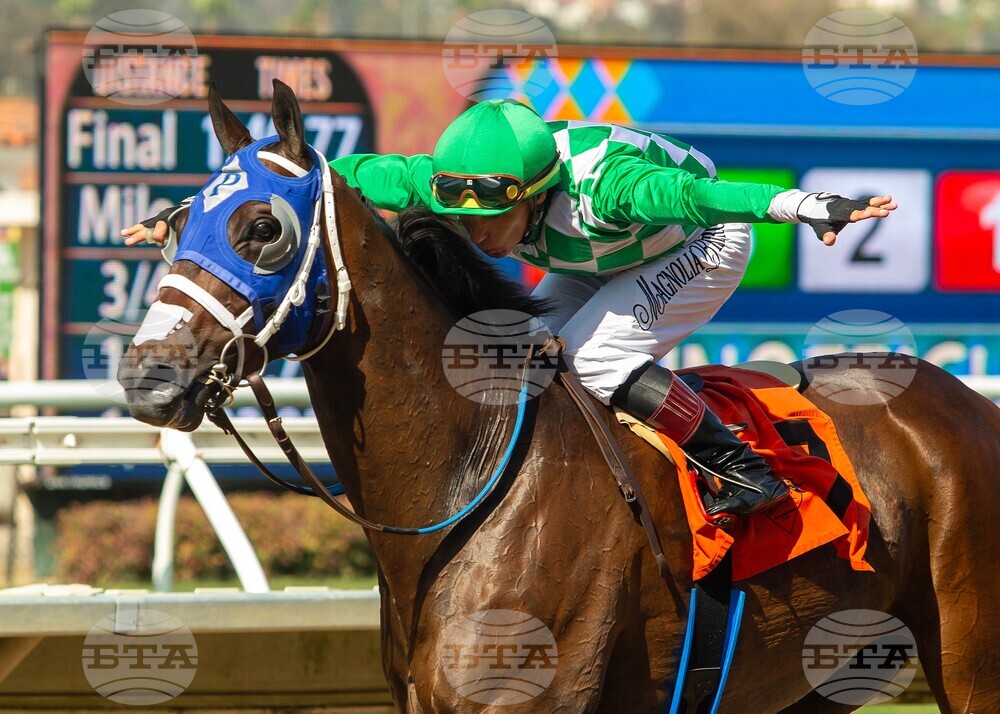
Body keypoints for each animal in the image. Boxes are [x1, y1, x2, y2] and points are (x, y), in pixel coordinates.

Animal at [118, 81, 1000, 713]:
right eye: (182, 224)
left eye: (263, 229)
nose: (146, 377)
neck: (470, 477)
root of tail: (973, 406)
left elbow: (680, 197)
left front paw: (818, 204)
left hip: (968, 659)